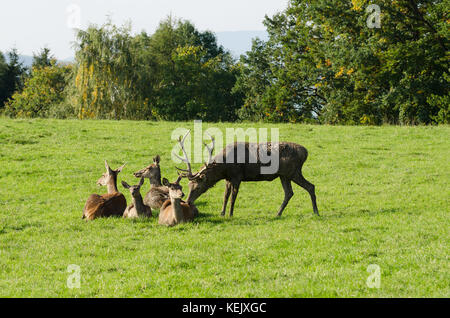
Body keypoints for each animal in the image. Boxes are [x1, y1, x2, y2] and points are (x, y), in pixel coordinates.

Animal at [176, 130, 320, 217]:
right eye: (188, 185)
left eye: (198, 186)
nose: (188, 201)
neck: (223, 168)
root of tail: (305, 152)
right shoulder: (228, 179)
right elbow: (225, 196)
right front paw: (222, 213)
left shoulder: (237, 176)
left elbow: (233, 196)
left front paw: (230, 214)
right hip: (284, 175)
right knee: (289, 192)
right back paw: (278, 213)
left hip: (293, 172)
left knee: (310, 186)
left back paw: (316, 212)